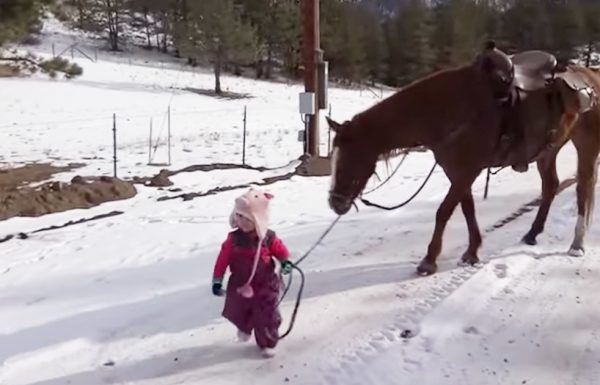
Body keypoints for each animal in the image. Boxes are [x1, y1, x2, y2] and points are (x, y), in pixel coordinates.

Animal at [328, 44, 600, 276]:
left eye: (353, 157)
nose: (335, 203)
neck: (452, 109)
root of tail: (590, 77)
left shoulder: (469, 170)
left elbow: (444, 211)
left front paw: (429, 260)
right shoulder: (457, 171)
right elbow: (467, 208)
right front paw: (471, 252)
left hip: (586, 145)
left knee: (583, 188)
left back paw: (577, 244)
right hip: (549, 150)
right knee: (551, 185)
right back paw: (532, 233)